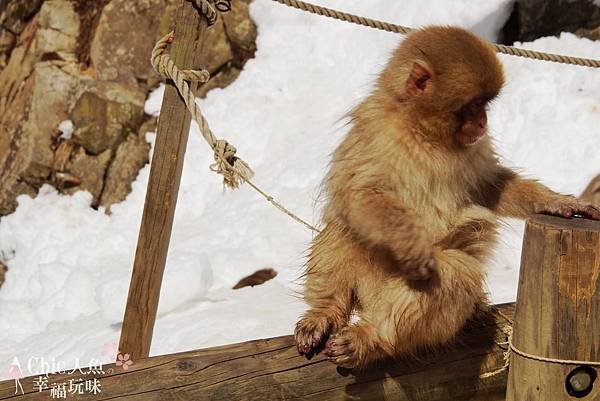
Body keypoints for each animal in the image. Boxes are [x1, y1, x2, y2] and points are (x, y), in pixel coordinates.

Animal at [296, 25, 600, 368]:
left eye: (485, 103)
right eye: (475, 103)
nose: (483, 121)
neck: (424, 133)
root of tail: (374, 300)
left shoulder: (474, 147)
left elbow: (488, 187)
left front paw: (560, 202)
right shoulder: (375, 128)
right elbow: (359, 193)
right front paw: (413, 247)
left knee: (456, 269)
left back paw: (371, 338)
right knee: (345, 228)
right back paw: (324, 313)